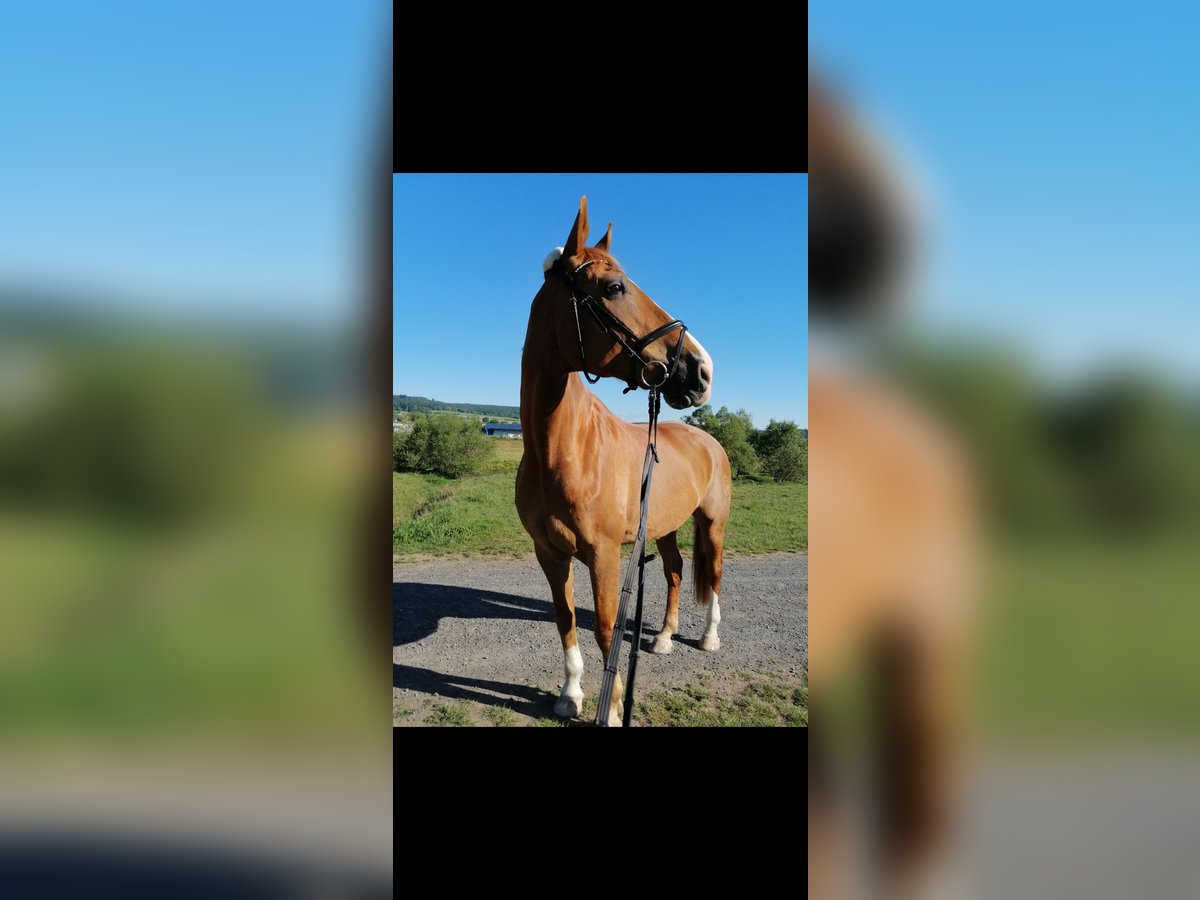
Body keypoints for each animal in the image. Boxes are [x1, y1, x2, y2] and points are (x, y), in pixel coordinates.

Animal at [516, 195, 729, 724]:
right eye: (614, 288)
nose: (702, 370)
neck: (564, 452)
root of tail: (708, 441)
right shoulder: (550, 553)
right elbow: (566, 619)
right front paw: (570, 694)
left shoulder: (605, 554)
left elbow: (608, 630)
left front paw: (611, 709)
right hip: (666, 525)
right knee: (675, 571)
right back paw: (665, 638)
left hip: (712, 524)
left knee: (713, 575)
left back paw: (708, 637)